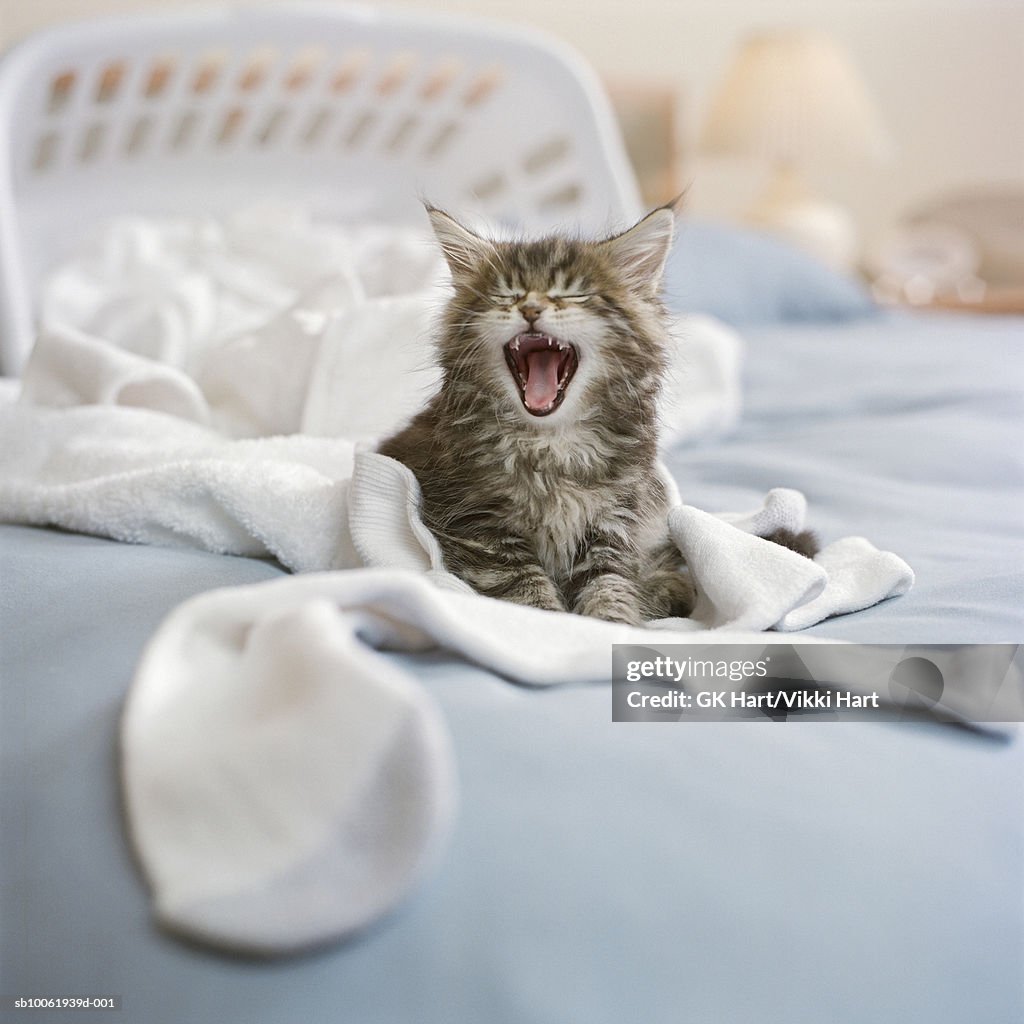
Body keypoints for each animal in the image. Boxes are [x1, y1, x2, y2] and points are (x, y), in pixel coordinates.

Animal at [376, 201, 696, 622]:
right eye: (505, 294)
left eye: (573, 294)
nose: (530, 307)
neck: (552, 443)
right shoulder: (477, 525)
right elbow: (527, 591)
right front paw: (551, 621)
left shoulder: (614, 522)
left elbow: (611, 585)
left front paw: (613, 623)